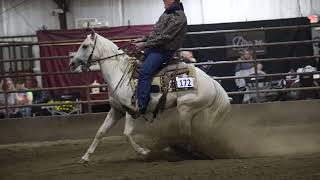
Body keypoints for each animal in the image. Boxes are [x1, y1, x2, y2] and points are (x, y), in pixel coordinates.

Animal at [69, 31, 230, 162]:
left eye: (84, 46)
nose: (71, 63)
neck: (119, 73)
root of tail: (212, 82)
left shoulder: (131, 109)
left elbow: (127, 133)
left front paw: (144, 151)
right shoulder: (116, 110)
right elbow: (100, 132)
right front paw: (85, 157)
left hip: (186, 108)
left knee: (187, 132)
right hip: (203, 111)